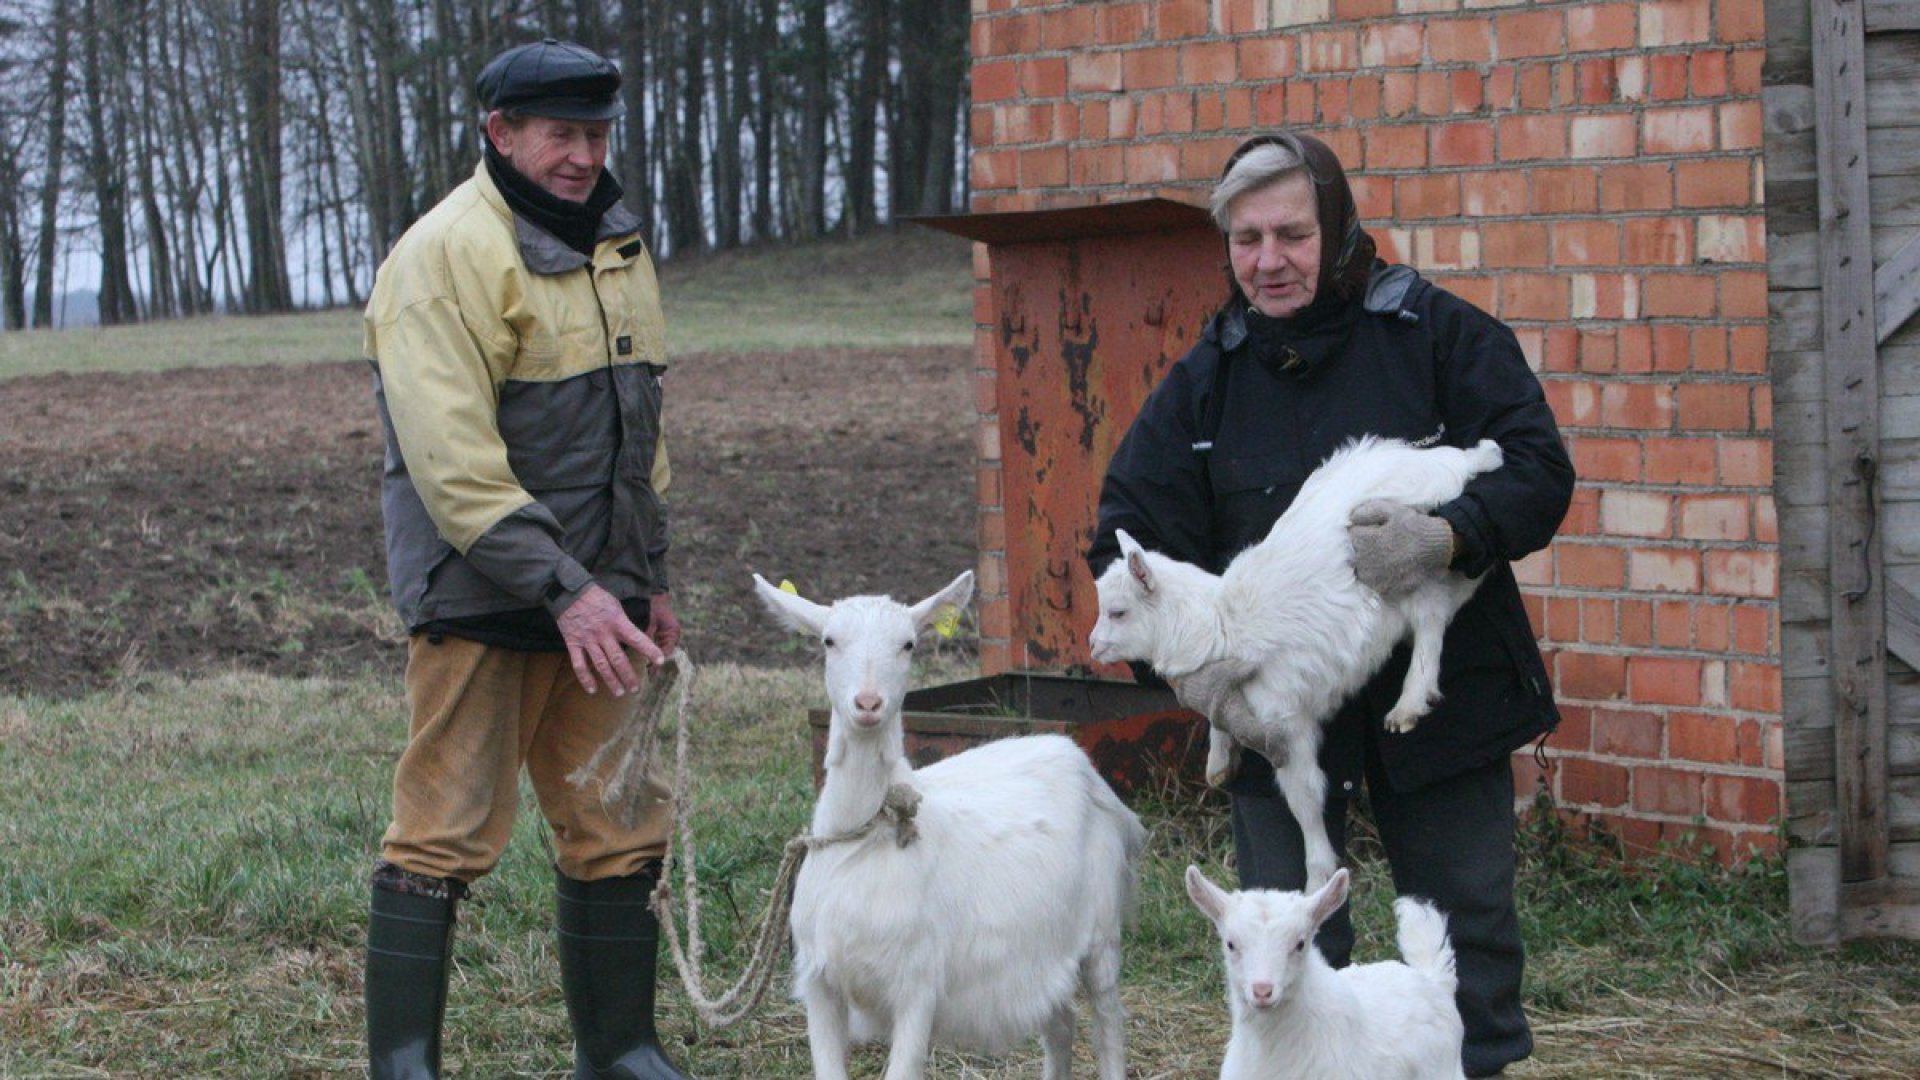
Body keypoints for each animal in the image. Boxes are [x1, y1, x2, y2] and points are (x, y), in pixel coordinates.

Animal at [748, 568, 1136, 1068]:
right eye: (829, 641)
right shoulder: (821, 983)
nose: (868, 703)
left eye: (908, 644)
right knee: (1059, 1021)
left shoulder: (918, 984)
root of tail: (1072, 752)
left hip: (1102, 930)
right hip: (1039, 953)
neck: (865, 840)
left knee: (1108, 1021)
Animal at [1090, 432, 1505, 887]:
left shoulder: (1284, 721)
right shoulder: (1233, 694)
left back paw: (1409, 704)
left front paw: (1319, 874)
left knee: (1431, 617)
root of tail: (1454, 462)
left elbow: (1305, 794)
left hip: (1404, 569)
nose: (1093, 647)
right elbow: (1217, 713)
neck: (1219, 623)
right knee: (1457, 591)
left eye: (1118, 612)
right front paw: (1218, 762)